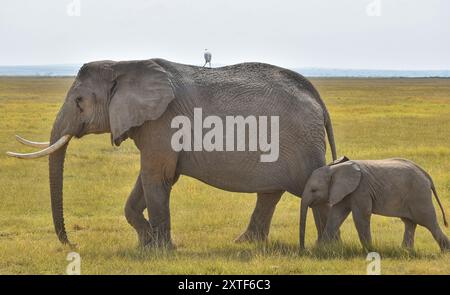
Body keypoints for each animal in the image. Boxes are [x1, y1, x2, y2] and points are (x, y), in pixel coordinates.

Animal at [7, 59, 338, 249]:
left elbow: (158, 177)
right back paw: (245, 244)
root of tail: (317, 98)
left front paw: (162, 251)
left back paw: (326, 249)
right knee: (270, 193)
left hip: (302, 143)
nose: (70, 243)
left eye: (79, 101)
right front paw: (146, 245)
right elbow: (147, 180)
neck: (123, 66)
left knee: (314, 191)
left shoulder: (163, 122)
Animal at [300, 157, 448, 252]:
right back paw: (405, 251)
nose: (304, 250)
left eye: (314, 190)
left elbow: (361, 216)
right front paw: (321, 250)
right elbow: (335, 216)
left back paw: (445, 251)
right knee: (410, 222)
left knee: (429, 222)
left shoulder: (361, 189)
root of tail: (426, 175)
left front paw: (369, 250)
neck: (334, 169)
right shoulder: (344, 191)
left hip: (419, 195)